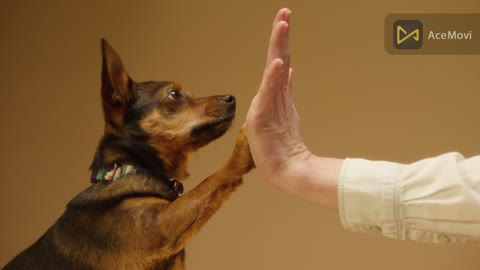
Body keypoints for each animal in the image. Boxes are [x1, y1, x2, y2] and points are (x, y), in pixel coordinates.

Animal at [2, 39, 255, 268]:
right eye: (174, 94)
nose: (231, 98)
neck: (130, 167)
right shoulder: (160, 227)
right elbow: (209, 181)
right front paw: (243, 147)